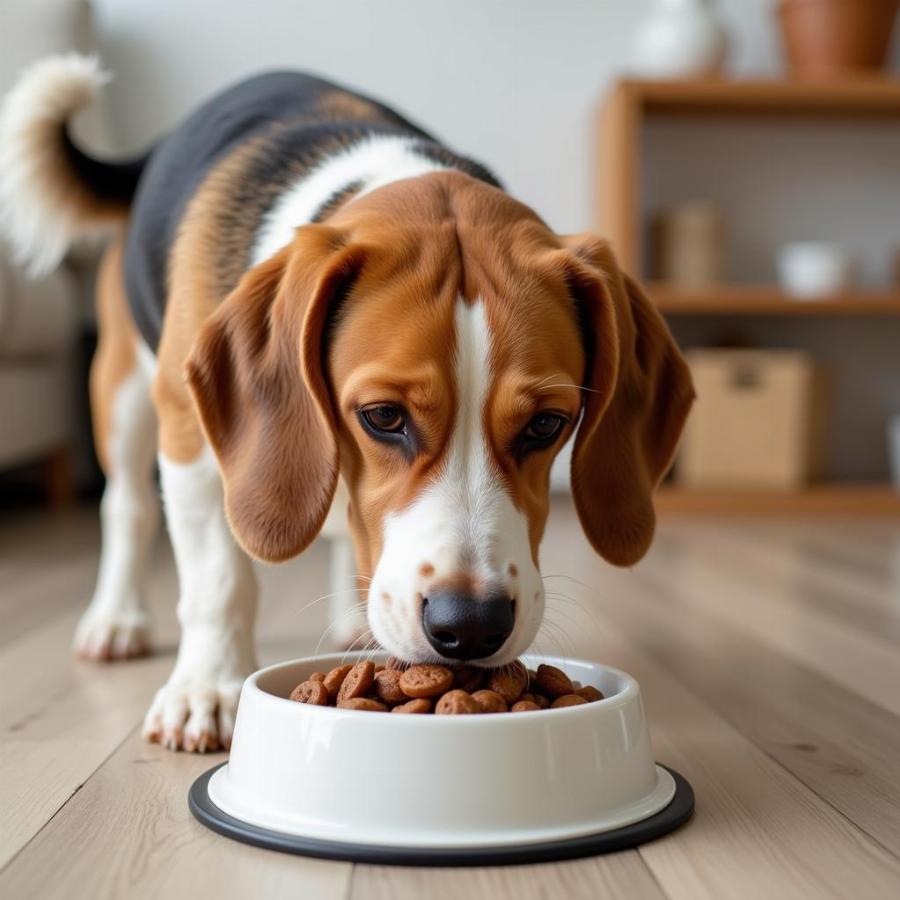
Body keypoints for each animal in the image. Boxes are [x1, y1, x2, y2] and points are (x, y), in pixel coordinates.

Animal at [0, 52, 696, 748]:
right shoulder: (190, 438)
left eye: (547, 424)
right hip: (125, 392)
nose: (470, 625)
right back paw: (116, 618)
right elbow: (216, 577)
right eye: (383, 417)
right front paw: (208, 685)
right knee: (127, 507)